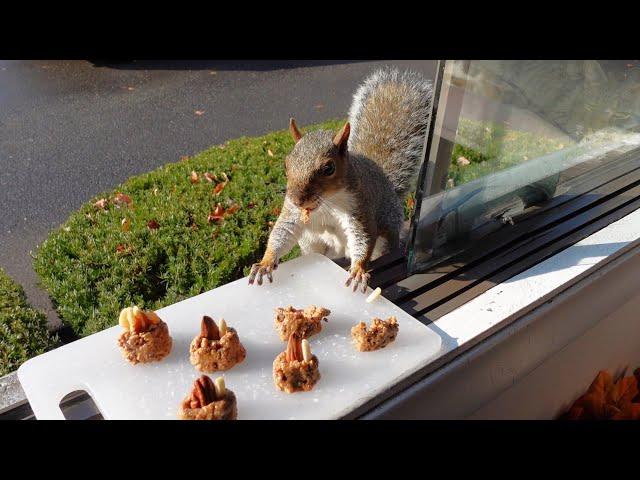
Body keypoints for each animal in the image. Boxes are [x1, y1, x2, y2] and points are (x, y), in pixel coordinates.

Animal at [248, 66, 432, 292]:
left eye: (329, 168)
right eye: (286, 164)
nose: (298, 200)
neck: (327, 202)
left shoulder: (358, 206)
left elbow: (362, 237)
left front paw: (359, 270)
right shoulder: (292, 212)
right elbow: (283, 232)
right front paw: (265, 263)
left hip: (385, 238)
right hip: (311, 242)